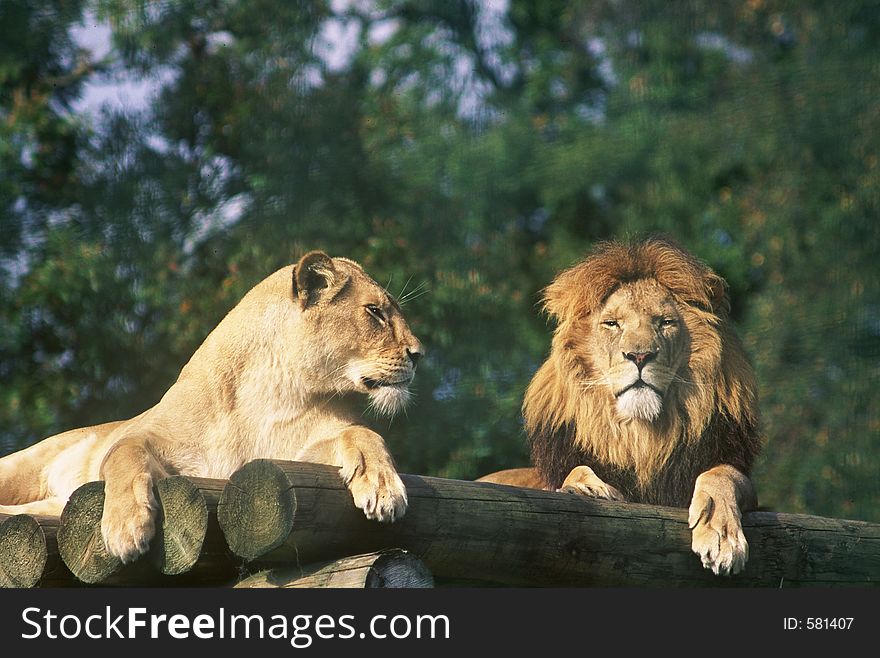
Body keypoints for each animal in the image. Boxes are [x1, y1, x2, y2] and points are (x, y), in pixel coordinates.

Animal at [0, 250, 422, 560]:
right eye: (375, 312)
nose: (419, 354)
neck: (270, 389)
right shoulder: (146, 435)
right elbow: (124, 455)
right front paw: (127, 526)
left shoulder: (297, 456)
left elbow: (362, 434)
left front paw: (383, 487)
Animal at [478, 237, 760, 576]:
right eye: (612, 324)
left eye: (665, 323)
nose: (639, 356)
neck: (639, 436)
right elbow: (574, 471)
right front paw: (588, 488)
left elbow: (721, 476)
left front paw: (722, 538)